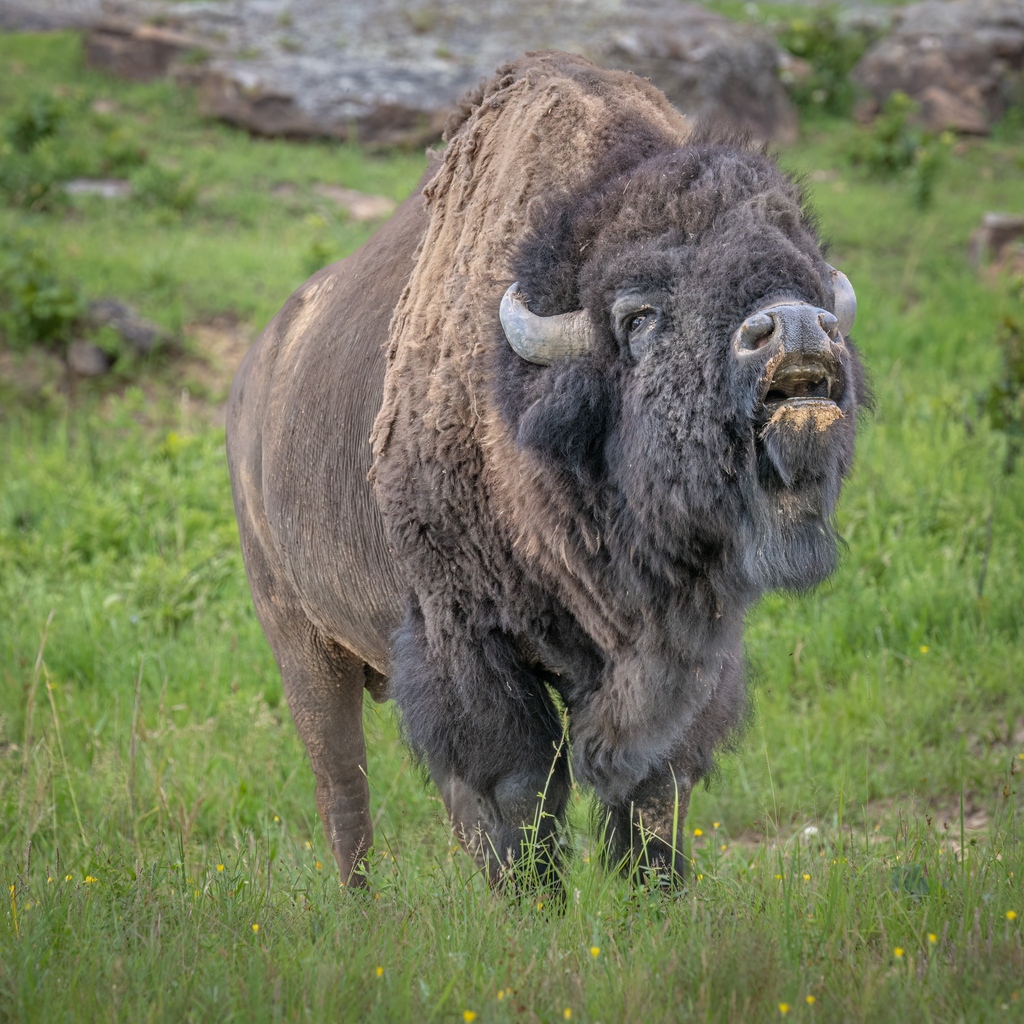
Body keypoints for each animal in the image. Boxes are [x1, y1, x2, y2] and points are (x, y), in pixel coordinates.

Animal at [226, 51, 866, 891]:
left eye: (811, 280)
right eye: (639, 317)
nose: (794, 327)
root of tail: (251, 387)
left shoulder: (688, 658)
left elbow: (656, 788)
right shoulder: (468, 649)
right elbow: (520, 792)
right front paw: (534, 903)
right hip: (301, 639)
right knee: (344, 791)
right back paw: (362, 903)